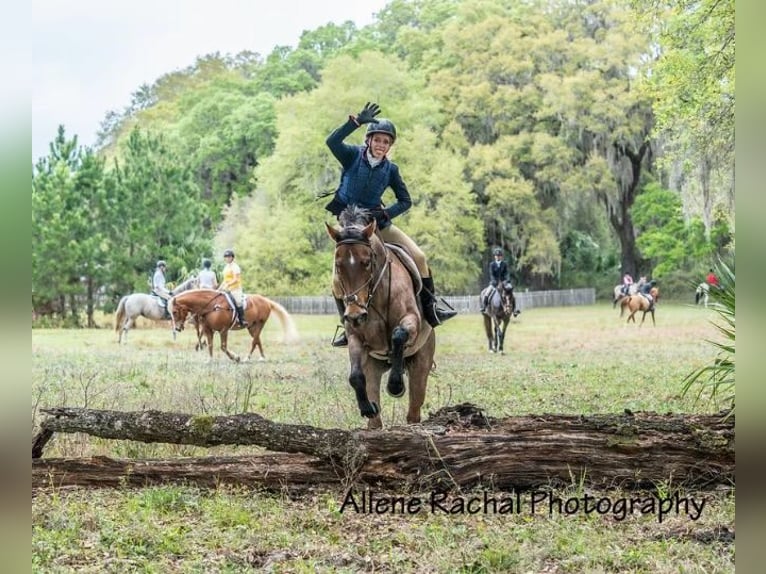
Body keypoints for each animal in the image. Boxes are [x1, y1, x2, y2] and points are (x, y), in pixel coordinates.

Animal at [168, 290, 300, 362]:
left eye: (174, 312)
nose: (177, 328)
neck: (212, 306)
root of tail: (266, 301)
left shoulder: (223, 330)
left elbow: (223, 347)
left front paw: (236, 358)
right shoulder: (208, 330)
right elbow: (210, 345)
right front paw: (209, 360)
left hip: (259, 324)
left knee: (254, 341)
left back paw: (247, 358)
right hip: (252, 327)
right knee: (258, 341)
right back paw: (262, 357)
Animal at [326, 209, 438, 430]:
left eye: (367, 262)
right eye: (338, 265)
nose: (355, 315)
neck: (375, 296)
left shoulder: (411, 320)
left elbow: (398, 335)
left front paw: (395, 385)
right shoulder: (356, 337)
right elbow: (355, 375)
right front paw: (367, 407)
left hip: (421, 363)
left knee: (414, 411)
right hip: (373, 367)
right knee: (375, 422)